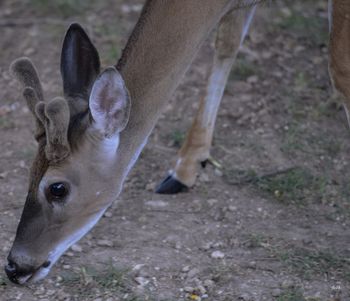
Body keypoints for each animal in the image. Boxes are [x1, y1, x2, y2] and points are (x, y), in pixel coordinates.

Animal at [4, 0, 350, 284]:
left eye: (57, 188)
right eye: (29, 171)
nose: (13, 267)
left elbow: (339, 68)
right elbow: (227, 41)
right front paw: (185, 168)